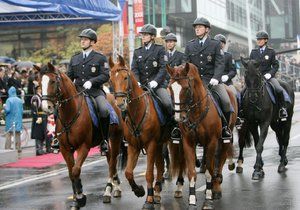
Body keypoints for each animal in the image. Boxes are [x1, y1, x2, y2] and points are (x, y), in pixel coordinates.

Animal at [36, 63, 125, 209]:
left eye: (53, 81)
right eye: (39, 83)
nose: (46, 107)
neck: (70, 113)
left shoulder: (83, 147)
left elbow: (76, 170)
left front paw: (80, 197)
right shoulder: (66, 149)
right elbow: (71, 173)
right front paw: (75, 201)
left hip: (115, 137)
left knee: (113, 161)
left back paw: (109, 190)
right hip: (106, 141)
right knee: (110, 159)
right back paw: (114, 187)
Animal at [109, 55, 179, 209]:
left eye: (125, 77)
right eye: (110, 80)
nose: (120, 103)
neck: (138, 110)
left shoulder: (151, 144)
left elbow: (148, 173)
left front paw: (148, 200)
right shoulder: (133, 146)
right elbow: (128, 173)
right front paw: (139, 190)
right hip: (159, 144)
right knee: (160, 166)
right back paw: (158, 192)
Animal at [166, 63, 237, 209]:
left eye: (186, 88)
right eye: (170, 88)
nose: (179, 117)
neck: (196, 111)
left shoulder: (212, 142)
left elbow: (210, 171)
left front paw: (209, 198)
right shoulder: (188, 142)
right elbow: (192, 172)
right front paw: (192, 201)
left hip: (224, 139)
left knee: (220, 160)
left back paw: (216, 188)